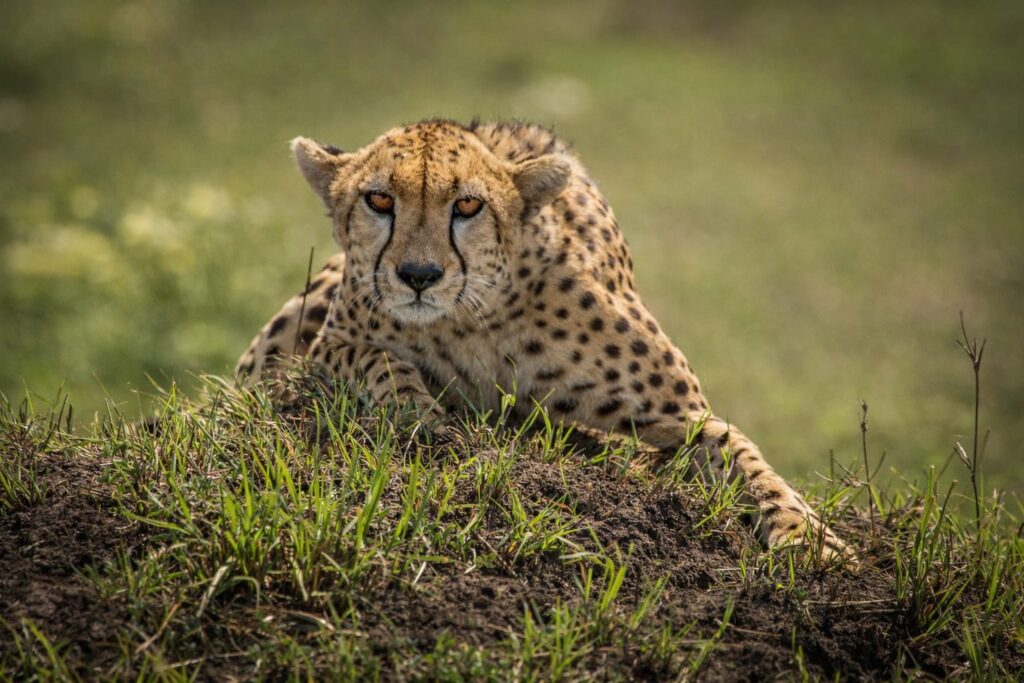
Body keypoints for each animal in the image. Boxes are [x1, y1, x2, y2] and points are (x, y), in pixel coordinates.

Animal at [235, 119, 852, 562]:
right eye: (379, 200)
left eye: (467, 204)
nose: (418, 275)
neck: (474, 318)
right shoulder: (329, 346)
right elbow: (373, 360)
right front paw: (419, 409)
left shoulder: (683, 414)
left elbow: (743, 456)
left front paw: (809, 539)